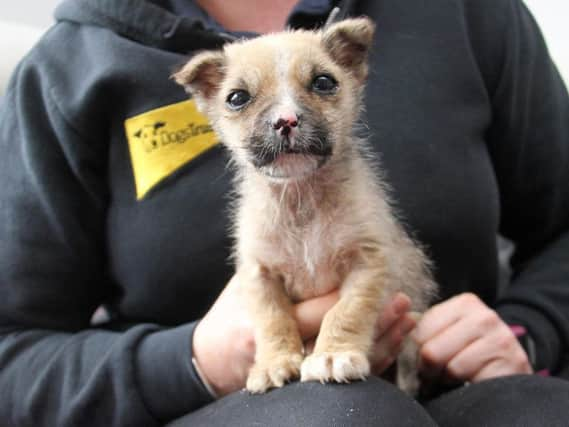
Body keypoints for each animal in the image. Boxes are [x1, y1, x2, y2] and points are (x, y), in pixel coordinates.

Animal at [173, 18, 434, 396]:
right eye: (237, 98)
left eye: (323, 82)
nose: (286, 120)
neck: (301, 197)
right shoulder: (260, 274)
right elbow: (272, 320)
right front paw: (274, 362)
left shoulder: (368, 261)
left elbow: (346, 312)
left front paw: (332, 355)